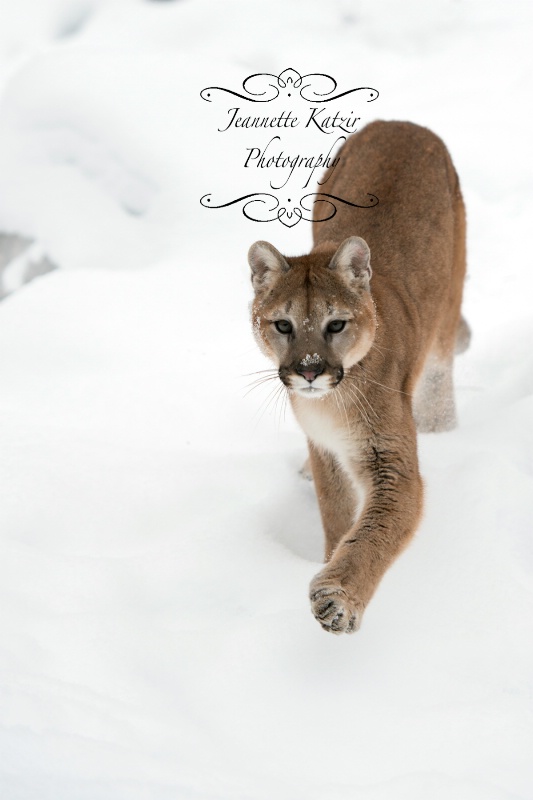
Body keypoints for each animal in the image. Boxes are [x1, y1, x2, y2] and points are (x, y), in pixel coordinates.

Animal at [247, 120, 468, 632]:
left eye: (336, 325)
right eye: (283, 325)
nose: (309, 370)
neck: (330, 404)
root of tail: (401, 123)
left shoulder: (392, 462)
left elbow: (374, 530)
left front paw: (338, 597)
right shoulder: (326, 447)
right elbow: (339, 513)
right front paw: (330, 561)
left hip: (448, 302)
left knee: (440, 375)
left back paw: (441, 425)